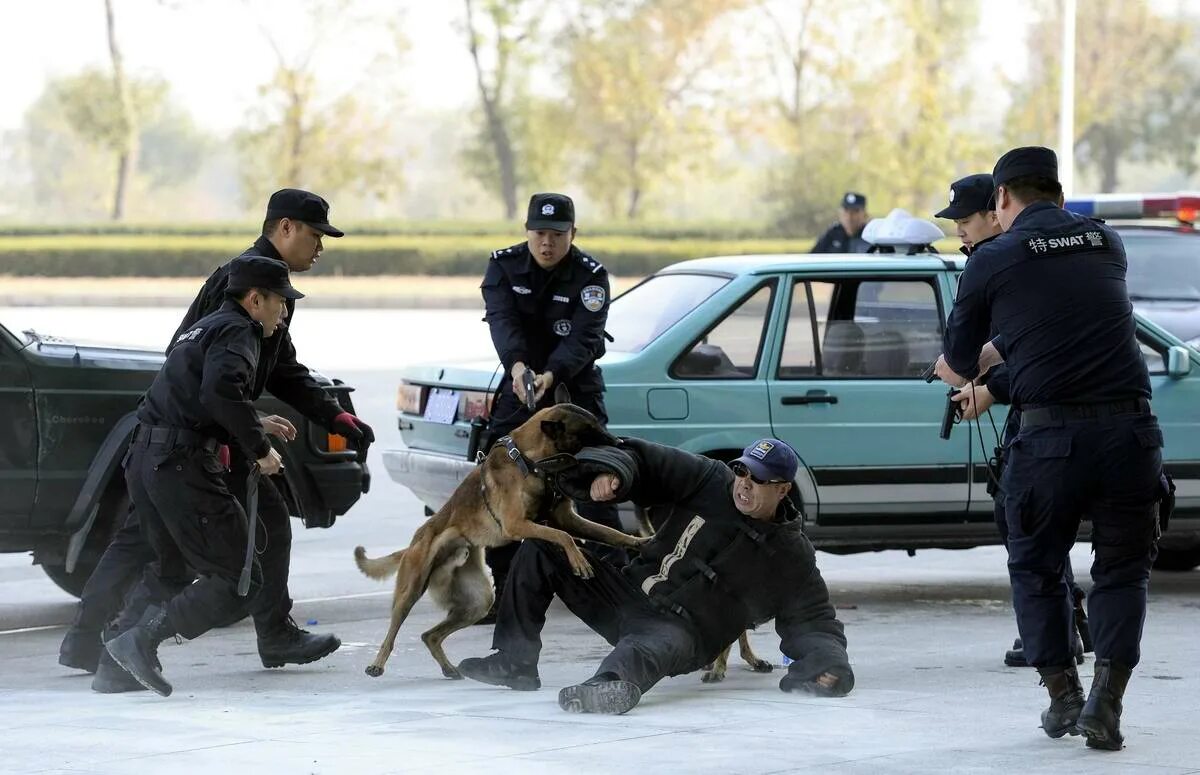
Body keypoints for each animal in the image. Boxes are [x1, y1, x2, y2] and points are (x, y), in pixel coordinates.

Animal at [352, 407, 648, 681]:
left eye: (598, 423)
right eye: (588, 430)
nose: (620, 442)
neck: (530, 461)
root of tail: (415, 541)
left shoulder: (566, 518)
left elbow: (609, 532)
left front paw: (640, 542)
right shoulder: (517, 524)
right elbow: (562, 536)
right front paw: (579, 560)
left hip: (478, 602)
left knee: (430, 635)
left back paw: (448, 668)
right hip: (410, 590)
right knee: (392, 633)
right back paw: (377, 664)